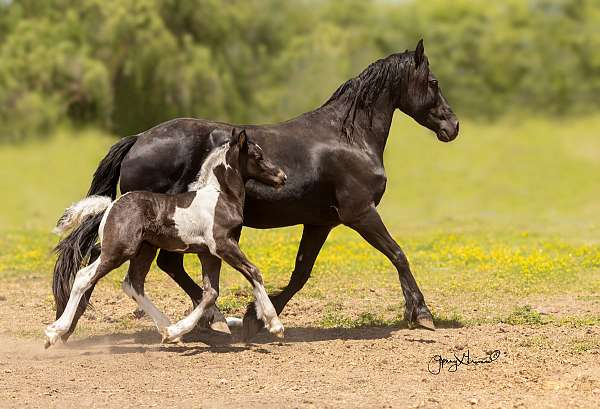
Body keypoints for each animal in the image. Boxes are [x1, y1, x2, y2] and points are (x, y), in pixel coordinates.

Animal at [45, 129, 284, 346]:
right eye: (258, 156)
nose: (282, 176)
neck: (219, 196)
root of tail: (111, 205)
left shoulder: (209, 254)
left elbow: (211, 293)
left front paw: (177, 330)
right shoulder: (223, 245)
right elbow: (253, 272)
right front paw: (274, 324)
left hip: (144, 250)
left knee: (133, 284)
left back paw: (167, 328)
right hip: (119, 250)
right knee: (84, 276)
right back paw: (54, 332)